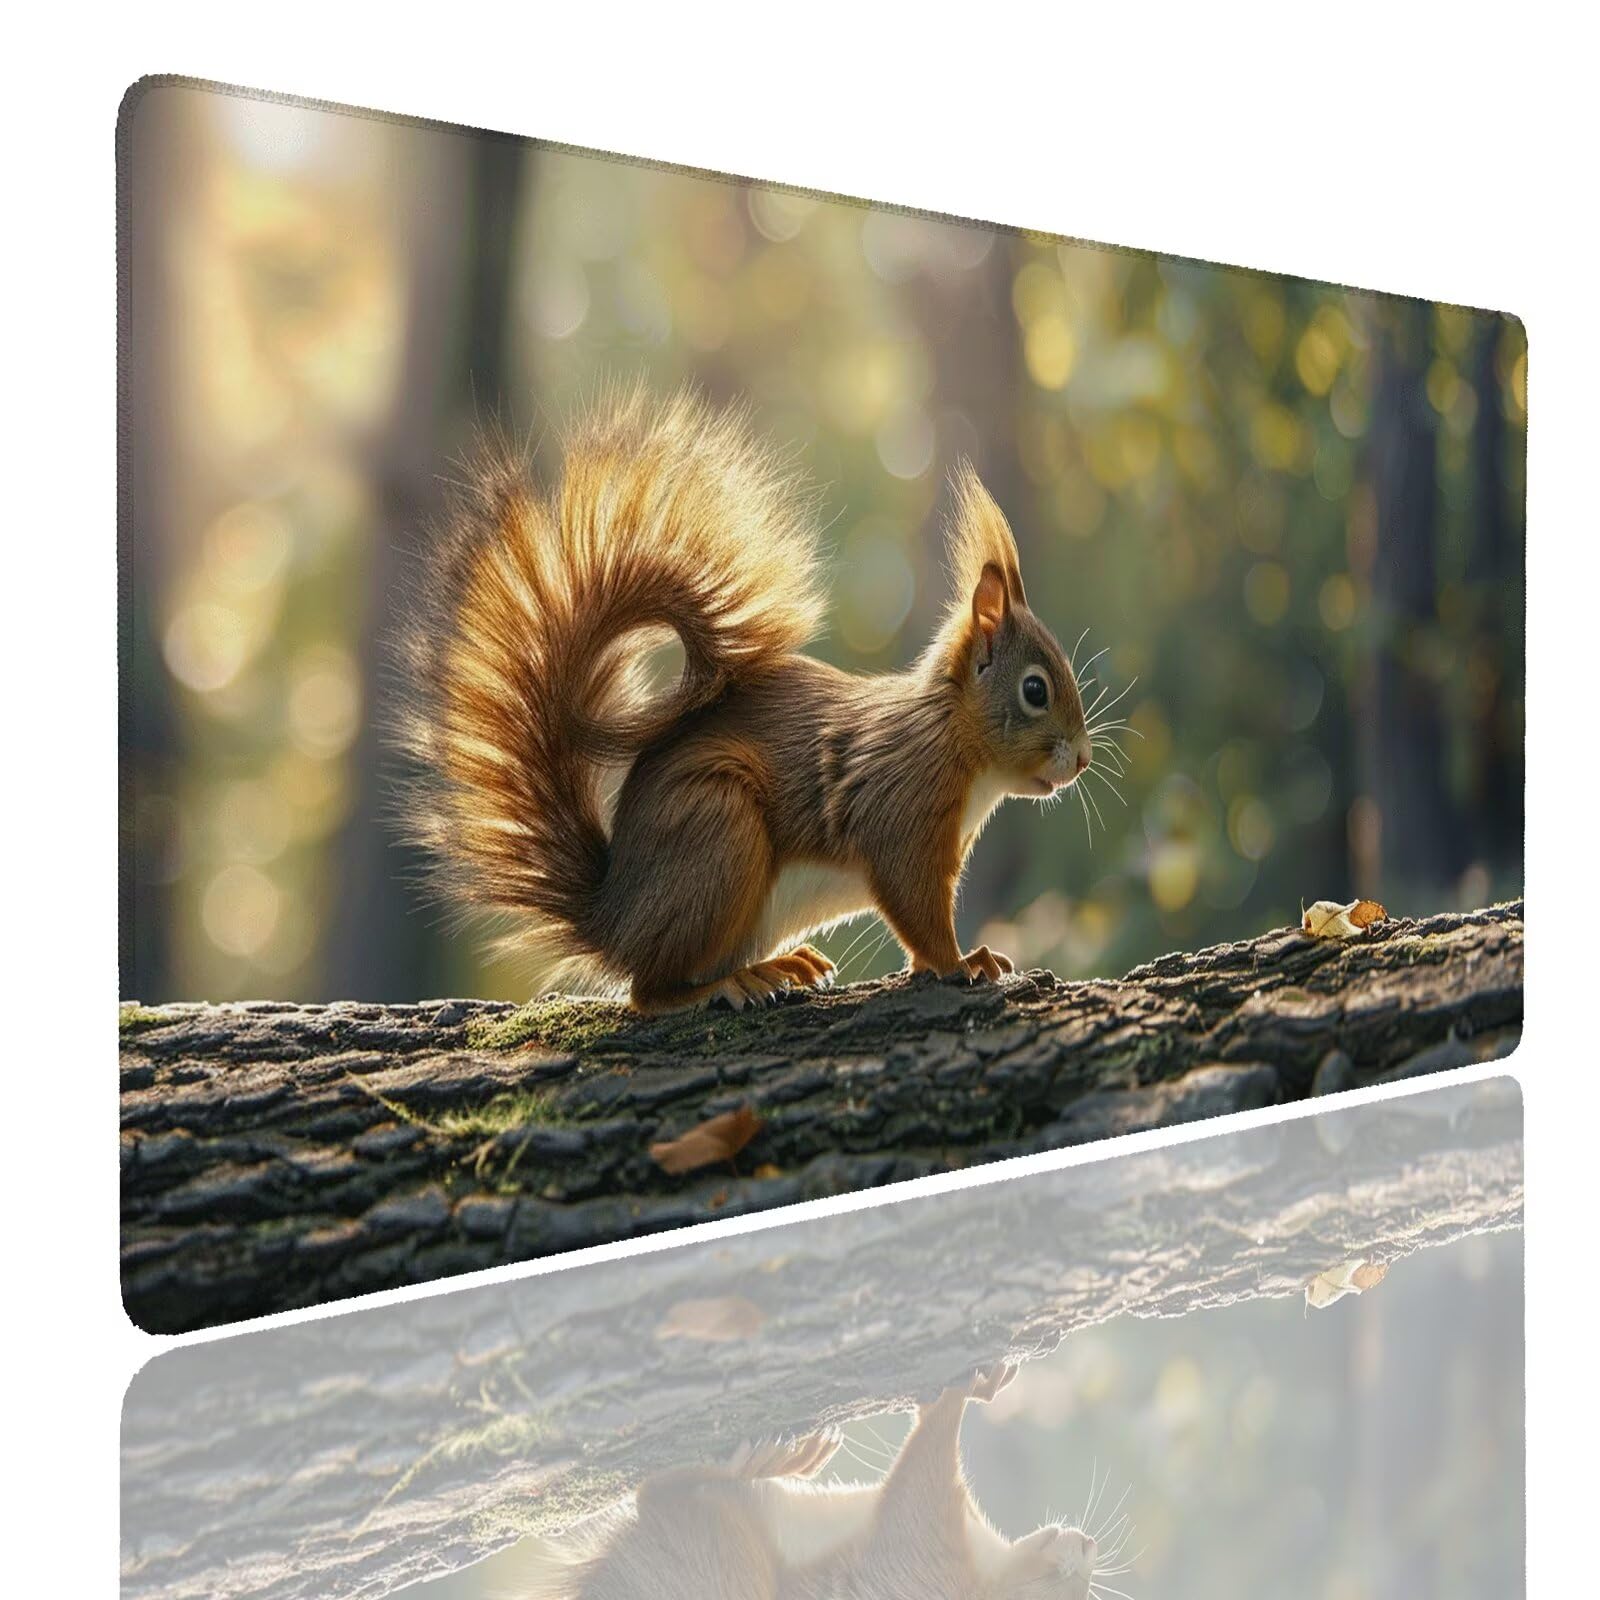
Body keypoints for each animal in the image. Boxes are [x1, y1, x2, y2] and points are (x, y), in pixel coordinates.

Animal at [398, 385, 1093, 1012]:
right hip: (718, 831)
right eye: (1035, 690)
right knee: (648, 991)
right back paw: (726, 987)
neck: (951, 734)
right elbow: (915, 906)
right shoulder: (900, 809)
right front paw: (961, 962)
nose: (1083, 759)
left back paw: (777, 965)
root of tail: (614, 919)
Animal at [493, 1364, 1105, 1600]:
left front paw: (950, 1398)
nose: (1087, 1545)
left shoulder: (917, 1560)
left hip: (727, 1567)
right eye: (1062, 1582)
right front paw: (976, 1386)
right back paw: (768, 1463)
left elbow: (919, 1480)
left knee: (666, 1497)